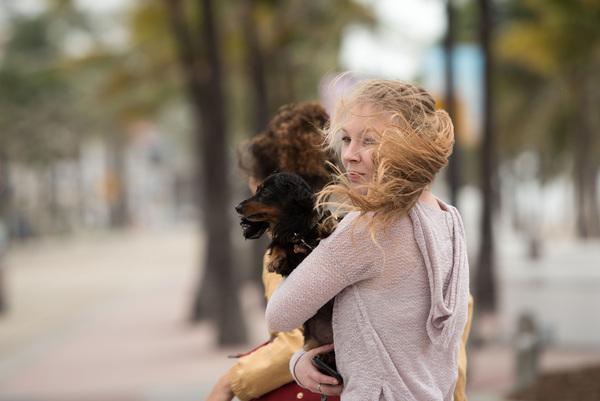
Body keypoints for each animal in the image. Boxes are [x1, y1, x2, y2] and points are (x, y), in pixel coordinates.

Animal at [235, 172, 339, 371]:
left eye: (266, 192)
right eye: (257, 190)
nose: (237, 207)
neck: (299, 234)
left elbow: (325, 226)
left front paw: (327, 227)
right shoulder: (290, 268)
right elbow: (278, 245)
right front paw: (275, 259)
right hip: (311, 344)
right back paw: (325, 356)